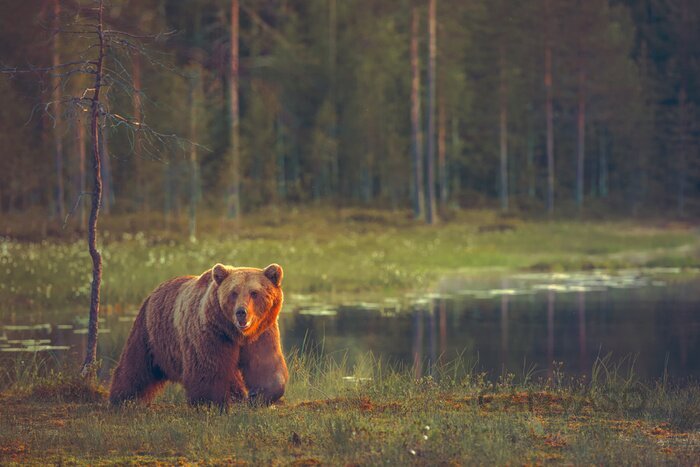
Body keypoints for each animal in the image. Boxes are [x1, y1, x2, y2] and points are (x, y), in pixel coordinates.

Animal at [108, 264, 288, 406]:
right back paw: (122, 399)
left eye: (254, 293)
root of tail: (153, 292)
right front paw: (212, 404)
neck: (236, 333)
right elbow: (207, 370)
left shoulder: (262, 333)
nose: (241, 312)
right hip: (150, 333)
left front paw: (257, 395)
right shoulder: (212, 334)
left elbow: (265, 366)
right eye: (234, 292)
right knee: (135, 365)